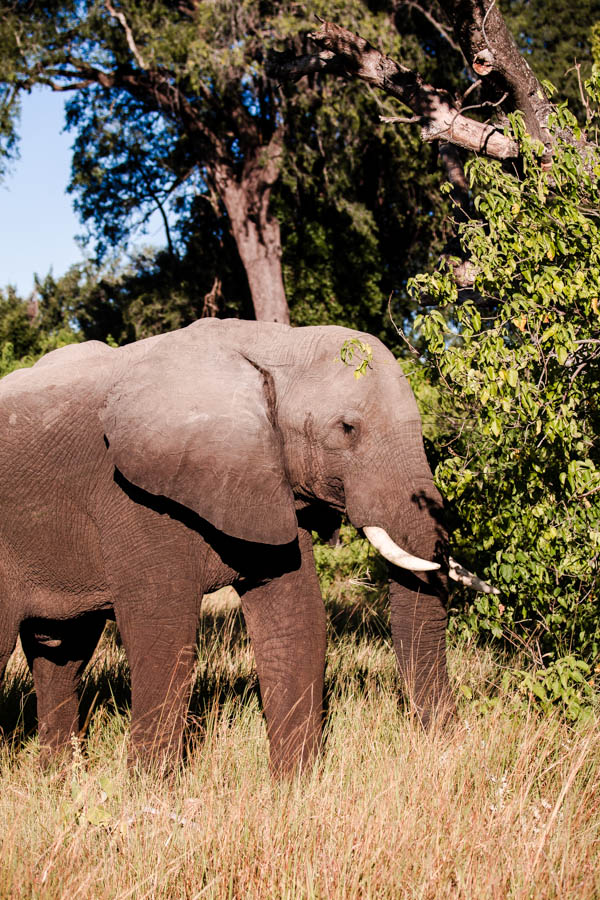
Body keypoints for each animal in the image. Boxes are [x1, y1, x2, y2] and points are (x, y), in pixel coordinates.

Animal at [0, 318, 490, 772]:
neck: (271, 344)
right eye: (347, 428)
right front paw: (150, 793)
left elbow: (296, 619)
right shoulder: (134, 496)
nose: (448, 742)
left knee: (61, 656)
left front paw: (295, 787)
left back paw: (58, 775)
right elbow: (163, 632)